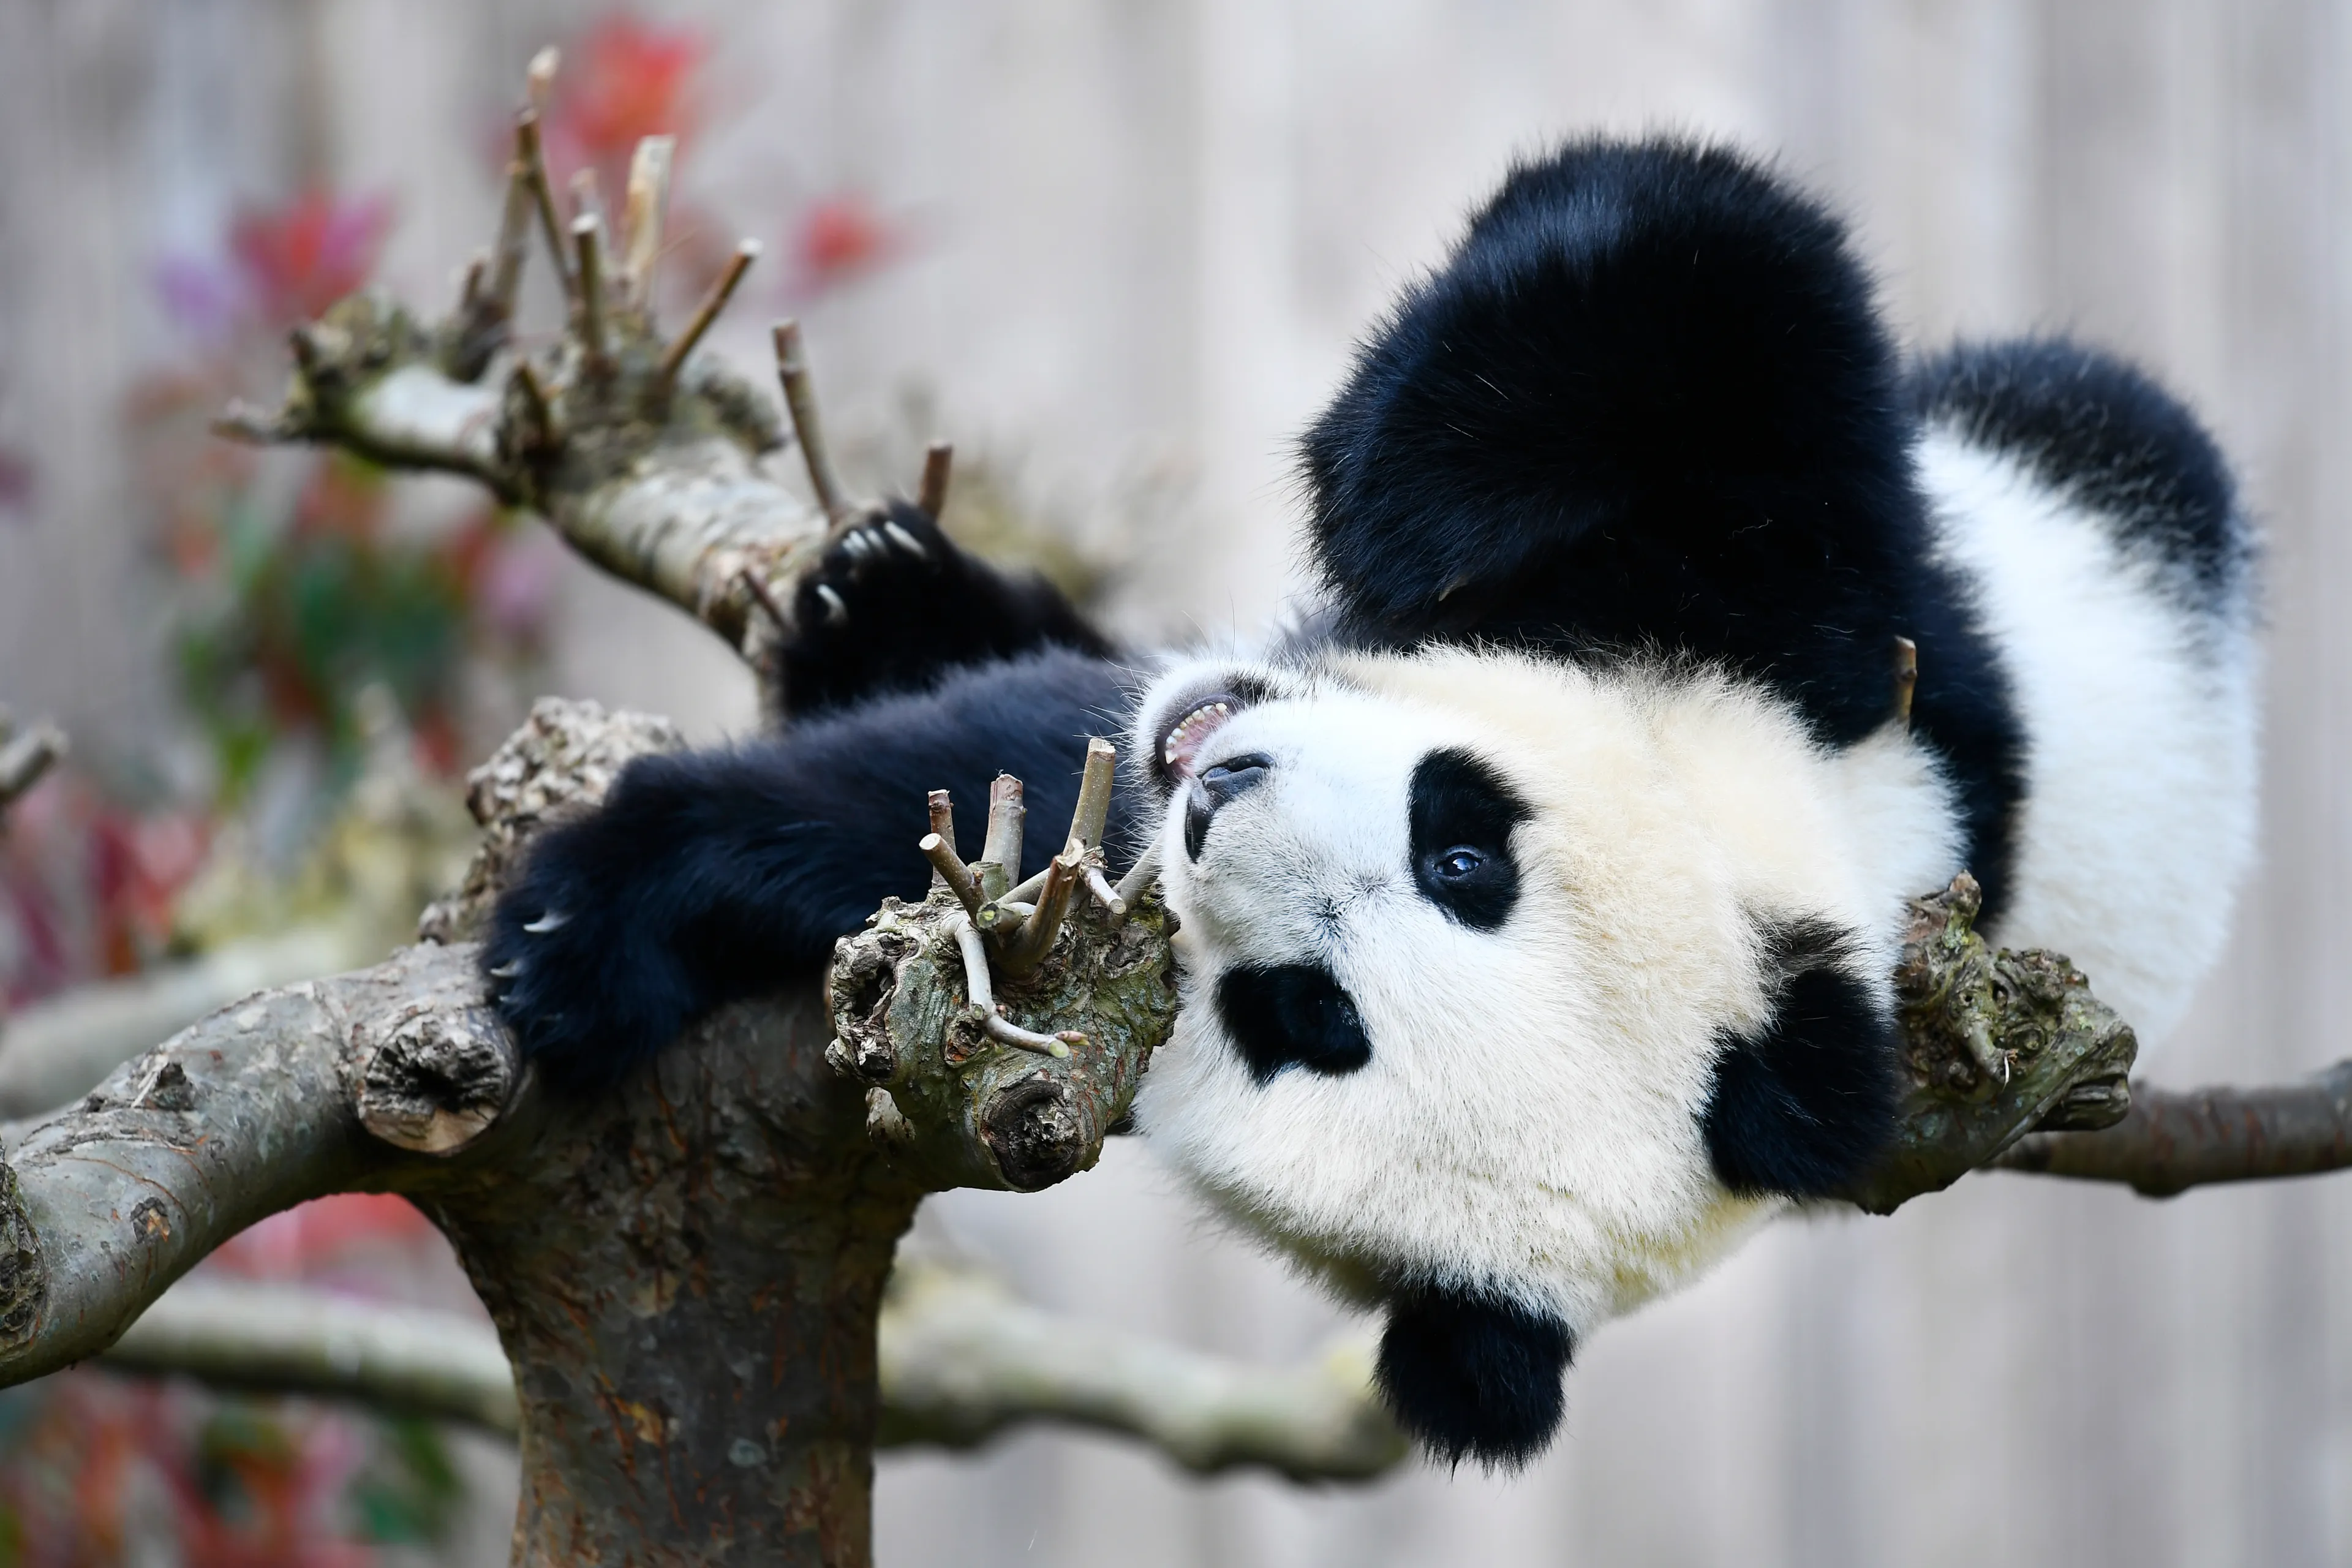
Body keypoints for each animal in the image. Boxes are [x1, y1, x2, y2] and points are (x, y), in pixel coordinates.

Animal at [484, 137, 2260, 1469]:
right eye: (1464, 847)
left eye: (1305, 1015)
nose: (1220, 794)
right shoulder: (1853, 675)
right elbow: (1692, 269)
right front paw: (579, 930)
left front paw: (580, 926)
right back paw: (889, 589)